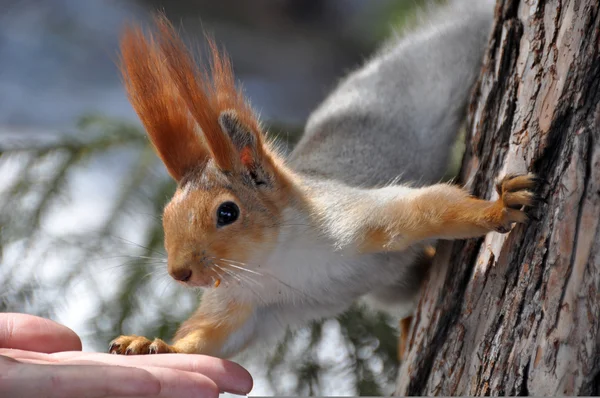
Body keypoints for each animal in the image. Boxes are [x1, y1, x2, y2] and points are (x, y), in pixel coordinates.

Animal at [109, 0, 540, 360]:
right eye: (166, 215)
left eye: (227, 213)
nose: (178, 273)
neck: (277, 262)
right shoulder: (243, 302)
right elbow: (208, 338)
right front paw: (152, 344)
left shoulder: (353, 219)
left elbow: (426, 207)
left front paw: (498, 209)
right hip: (390, 288)